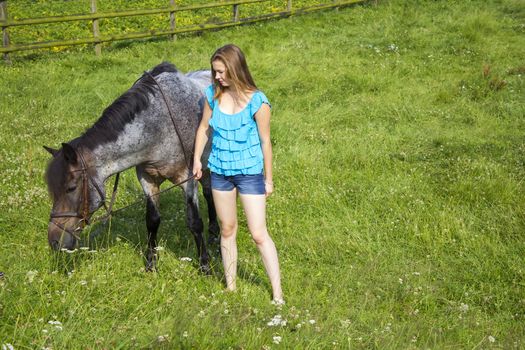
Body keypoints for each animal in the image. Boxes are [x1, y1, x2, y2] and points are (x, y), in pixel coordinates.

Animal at [42, 61, 219, 272]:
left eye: (71, 188)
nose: (55, 242)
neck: (159, 126)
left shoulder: (188, 178)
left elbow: (194, 222)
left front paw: (205, 265)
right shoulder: (147, 179)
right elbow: (152, 221)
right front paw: (151, 263)